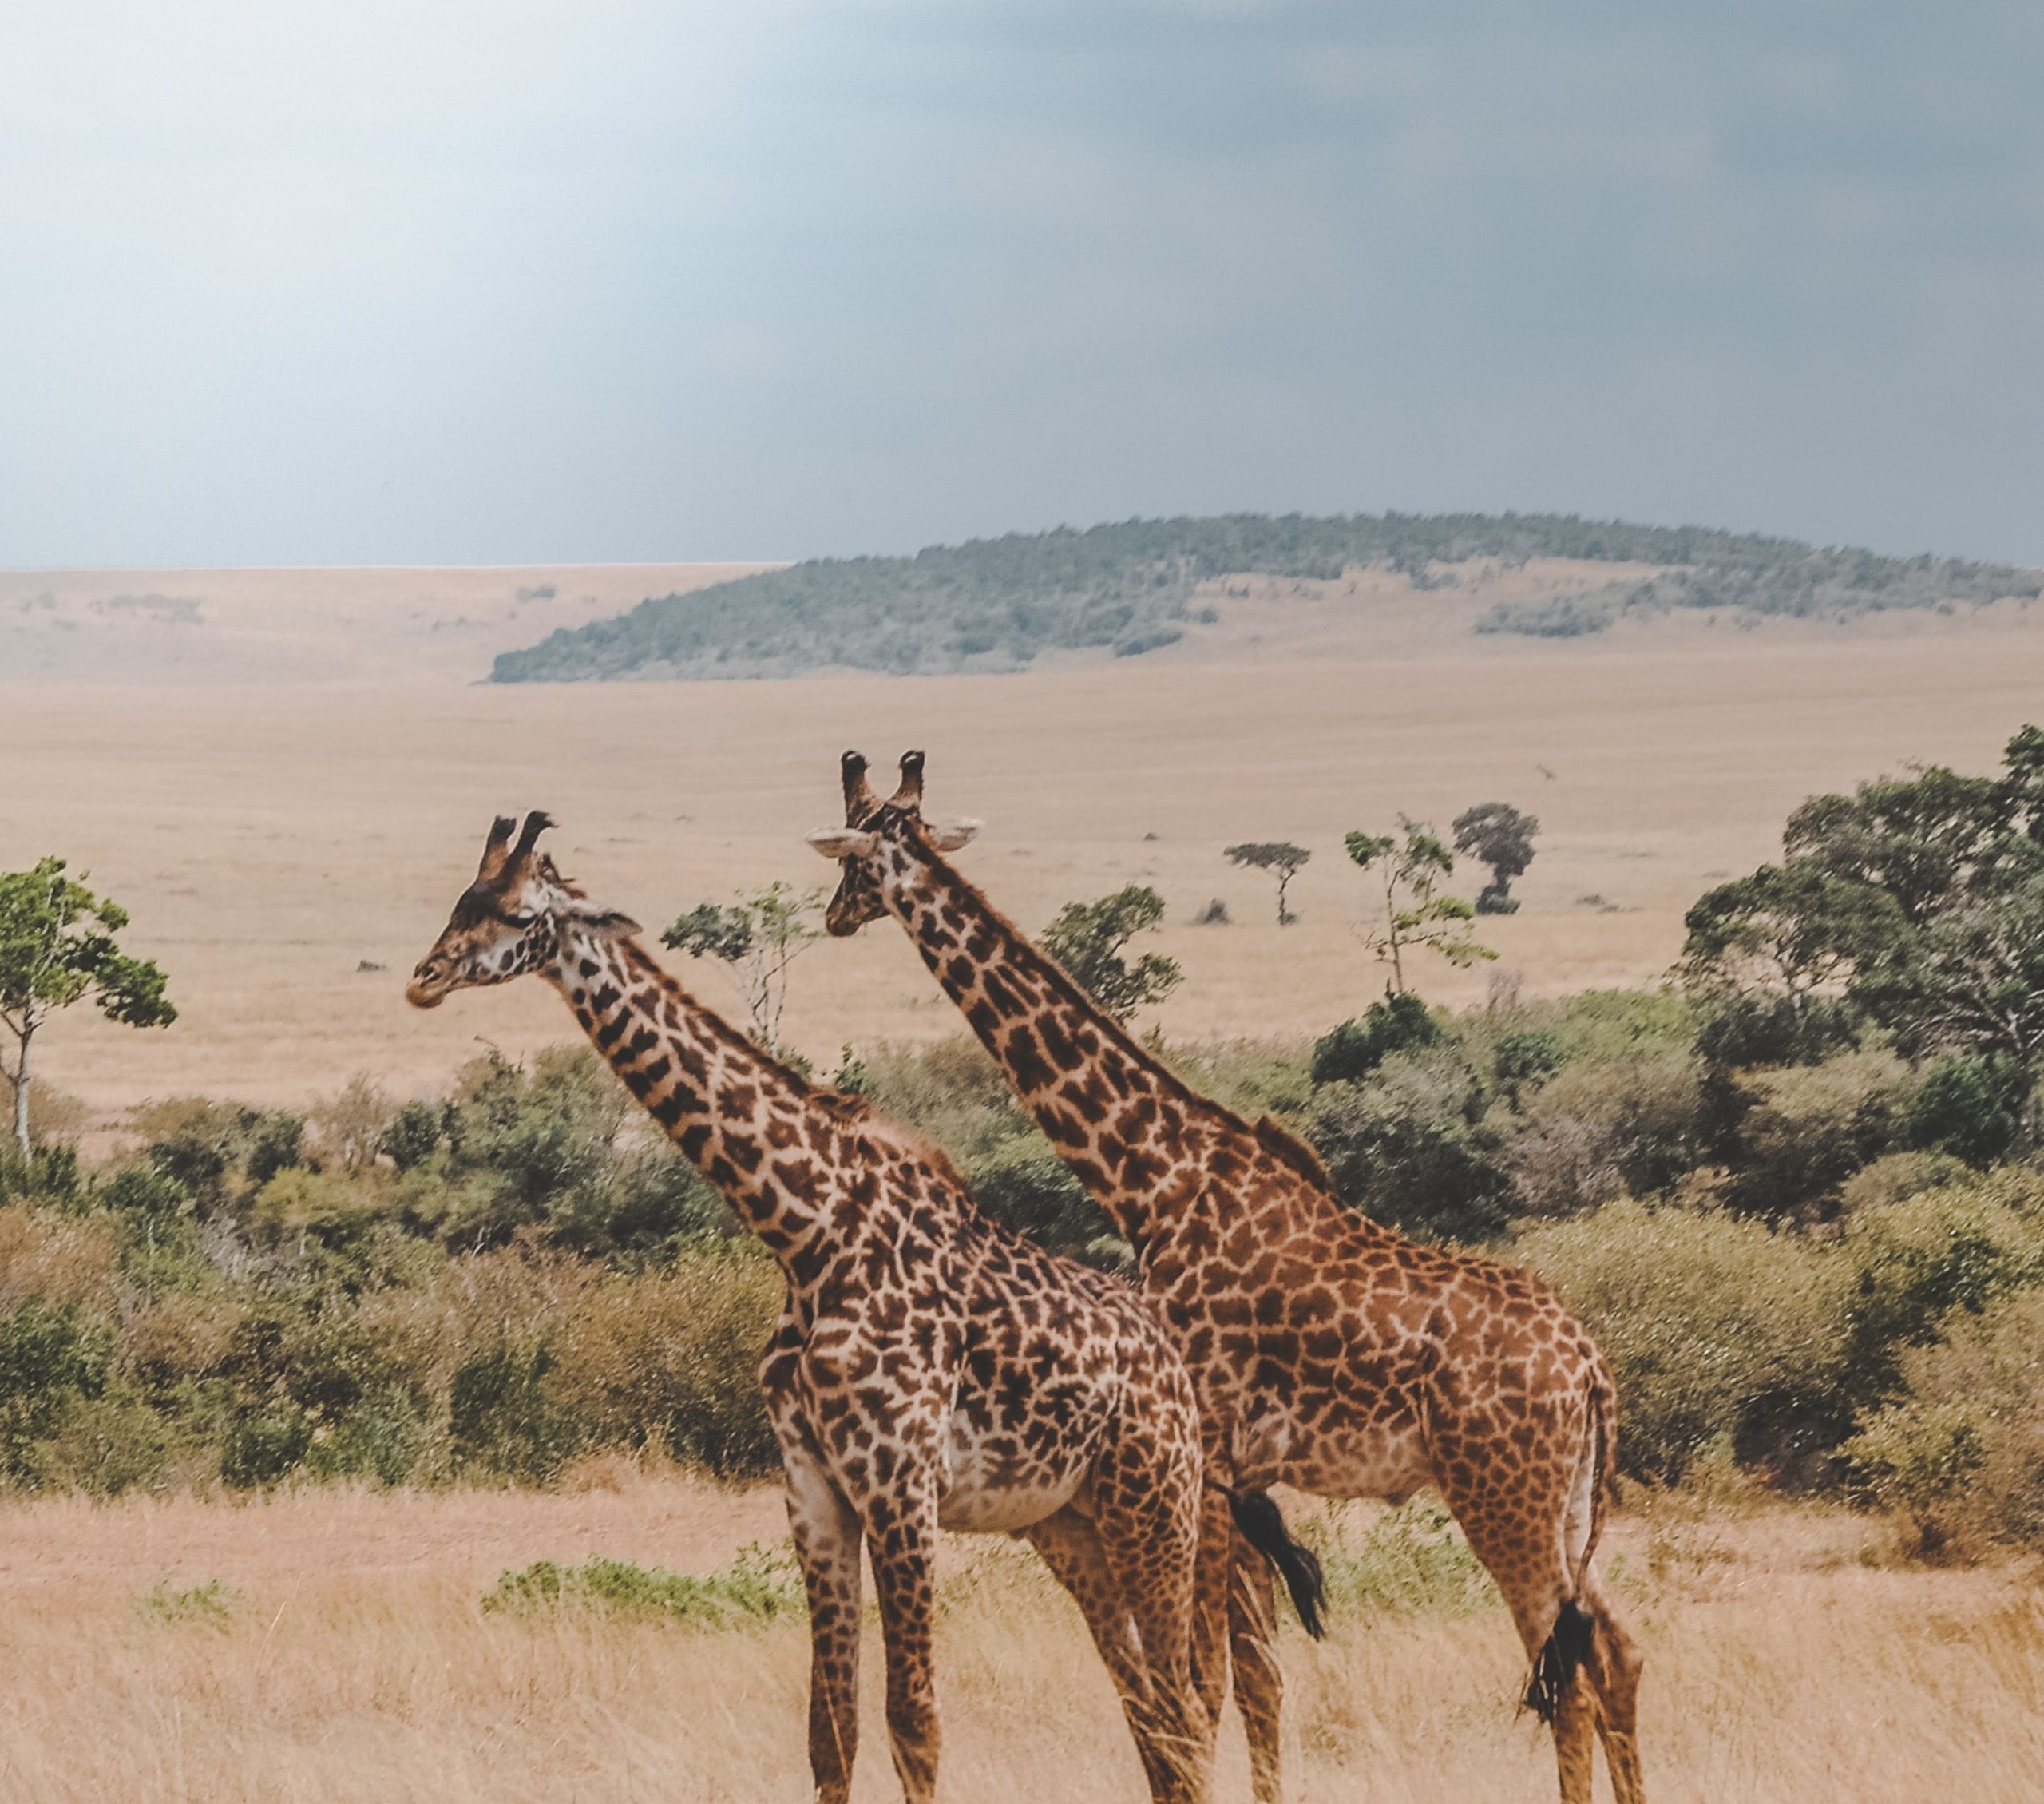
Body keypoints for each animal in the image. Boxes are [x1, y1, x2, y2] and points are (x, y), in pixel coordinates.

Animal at [406, 814, 1218, 1799]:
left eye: (519, 913)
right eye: (462, 899)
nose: (424, 977)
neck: (807, 1234)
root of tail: (1173, 1365)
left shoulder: (901, 1484)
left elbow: (915, 1720)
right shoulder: (814, 1490)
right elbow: (830, 1729)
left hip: (1155, 1504)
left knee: (1185, 1711)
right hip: (1068, 1523)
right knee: (1152, 1715)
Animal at [809, 748, 1643, 1799]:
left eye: (853, 861)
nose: (830, 917)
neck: (1151, 1175)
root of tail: (1591, 1372)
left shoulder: (1201, 1458)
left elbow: (1204, 1686)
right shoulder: (1240, 1475)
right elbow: (1258, 1679)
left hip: (1505, 1500)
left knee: (1562, 1671)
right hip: (1567, 1506)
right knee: (1616, 1651)